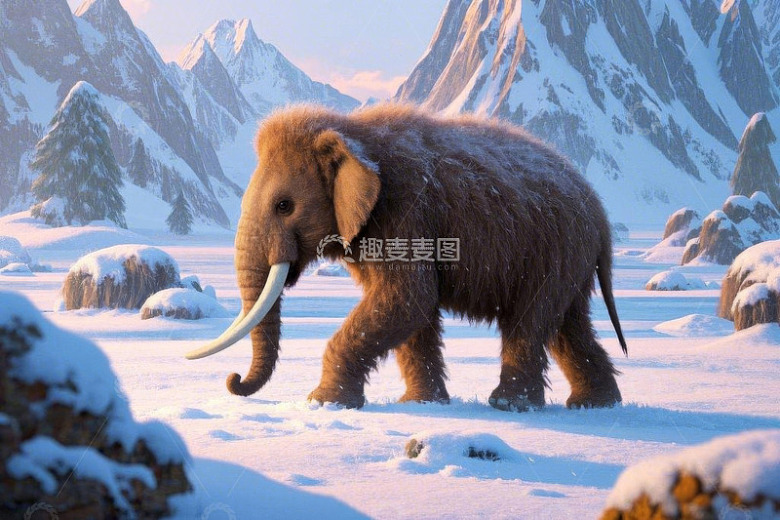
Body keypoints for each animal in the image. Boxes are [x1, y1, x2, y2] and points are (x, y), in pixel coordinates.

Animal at [186, 104, 628, 411]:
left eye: (284, 205)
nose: (233, 379)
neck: (351, 130)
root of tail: (602, 216)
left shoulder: (405, 211)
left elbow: (408, 298)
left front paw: (323, 402)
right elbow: (414, 311)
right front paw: (421, 404)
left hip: (556, 248)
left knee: (529, 320)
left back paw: (511, 406)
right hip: (567, 254)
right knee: (567, 326)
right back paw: (594, 404)